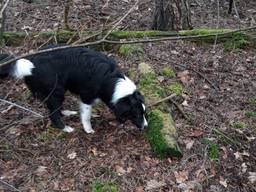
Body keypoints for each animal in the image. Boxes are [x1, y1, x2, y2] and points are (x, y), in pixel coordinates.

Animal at [0, 47, 148, 133]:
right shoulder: (86, 97)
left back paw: (66, 112)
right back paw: (65, 128)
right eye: (136, 115)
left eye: (144, 113)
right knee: (53, 114)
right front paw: (88, 129)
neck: (111, 81)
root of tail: (31, 62)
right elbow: (86, 116)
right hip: (56, 91)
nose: (146, 127)